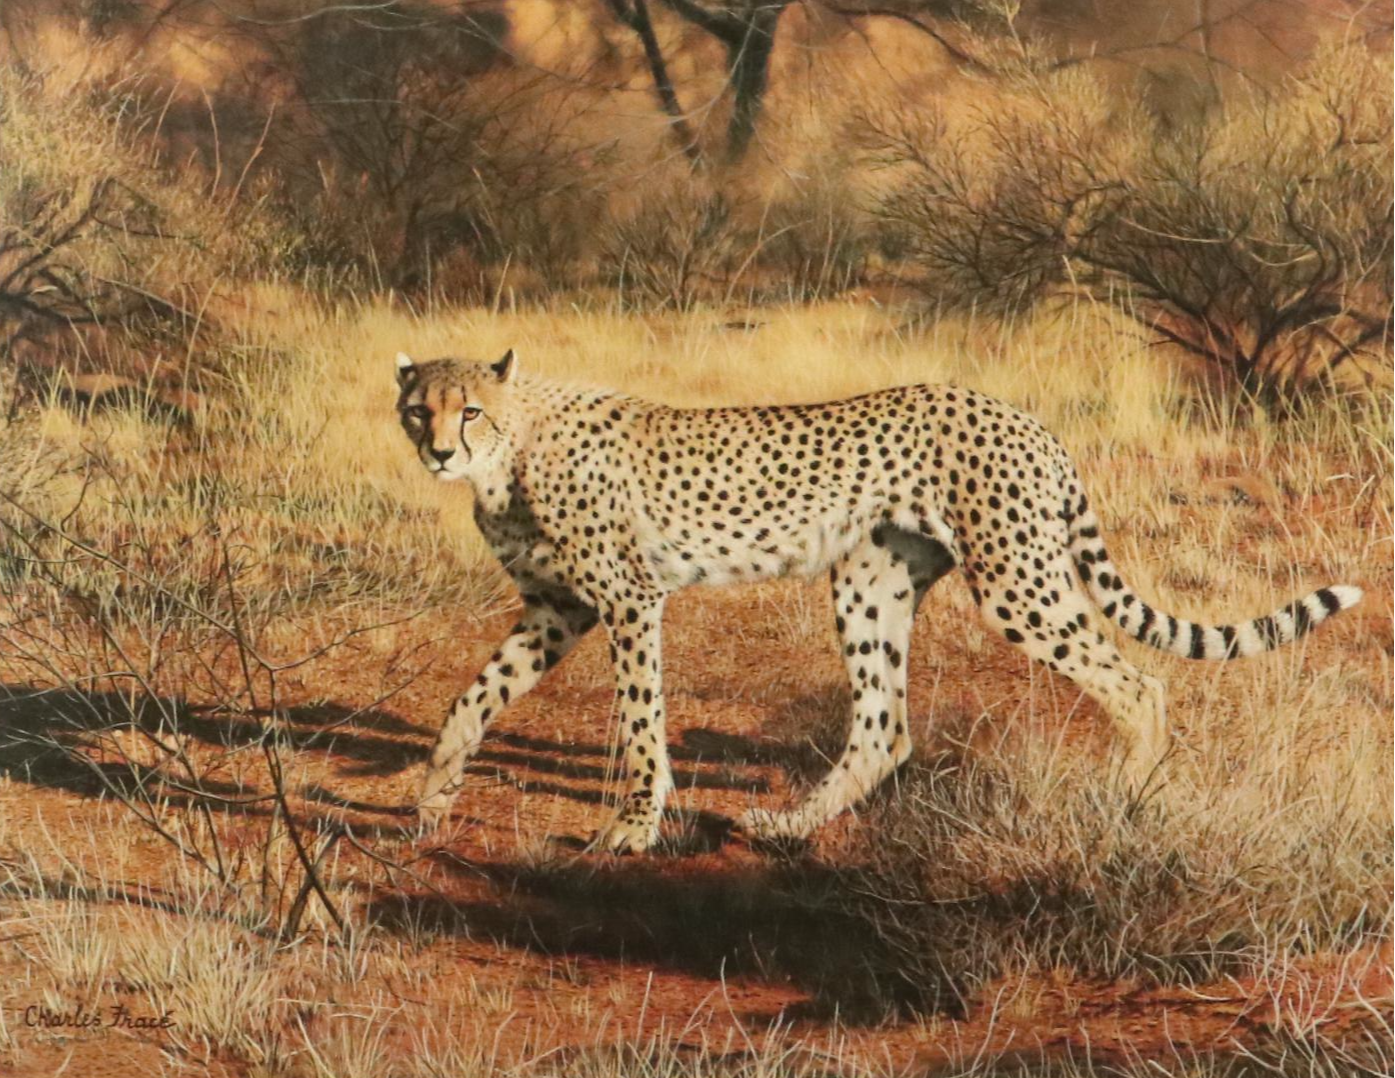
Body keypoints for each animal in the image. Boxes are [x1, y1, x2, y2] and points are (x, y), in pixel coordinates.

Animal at [394, 349, 1362, 853]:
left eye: (469, 411)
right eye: (416, 410)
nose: (437, 452)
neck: (512, 450)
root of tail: (1021, 416)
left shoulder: (629, 601)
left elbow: (638, 719)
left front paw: (633, 827)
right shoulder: (558, 610)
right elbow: (471, 697)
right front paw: (433, 794)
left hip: (1016, 582)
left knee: (1136, 683)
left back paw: (1128, 800)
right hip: (870, 584)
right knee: (883, 726)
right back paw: (787, 825)